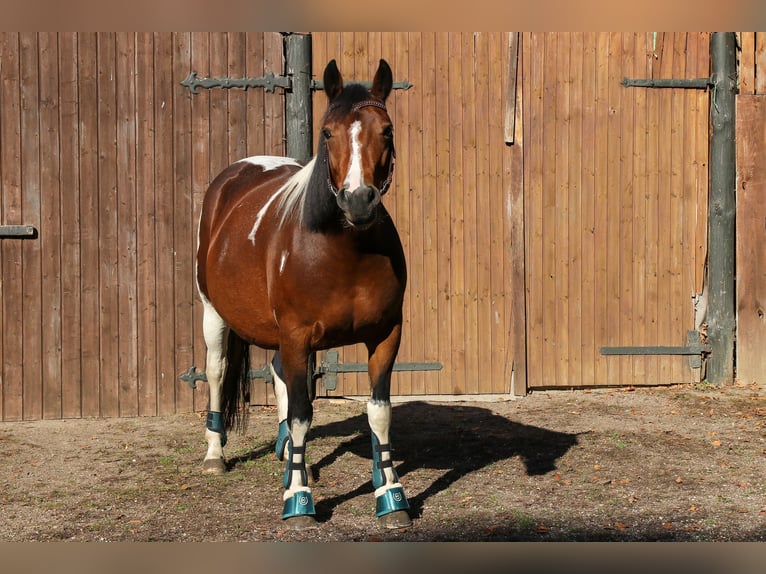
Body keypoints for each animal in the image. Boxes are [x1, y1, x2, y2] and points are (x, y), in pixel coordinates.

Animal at [195, 59, 411, 530]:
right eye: (327, 132)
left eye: (386, 130)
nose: (358, 201)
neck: (346, 253)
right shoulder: (296, 336)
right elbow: (301, 414)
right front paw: (298, 500)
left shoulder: (386, 335)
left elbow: (379, 412)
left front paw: (391, 496)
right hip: (214, 313)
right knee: (217, 372)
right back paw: (215, 455)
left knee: (277, 373)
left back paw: (290, 459)